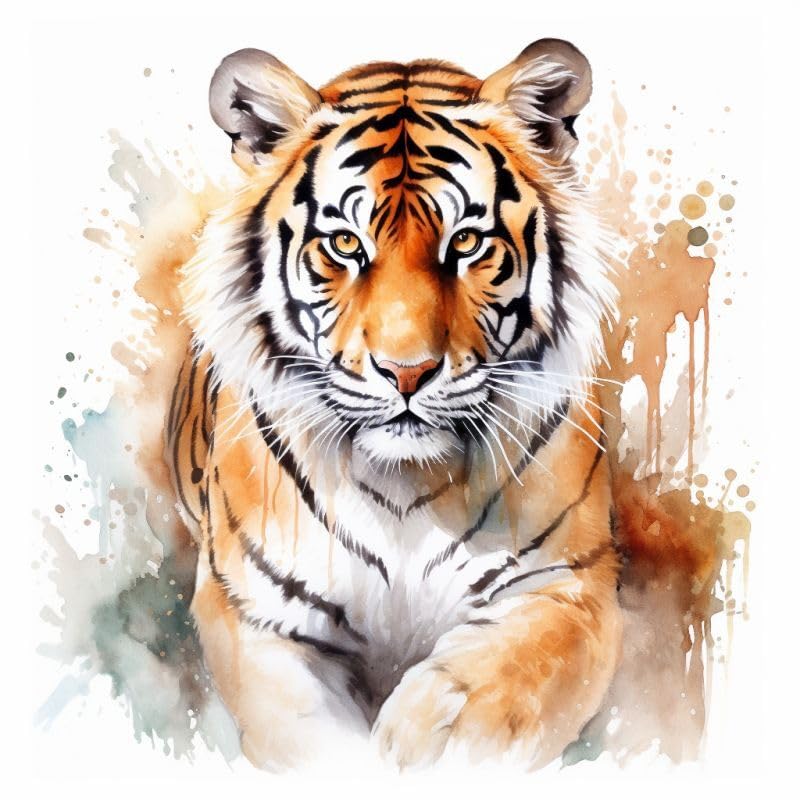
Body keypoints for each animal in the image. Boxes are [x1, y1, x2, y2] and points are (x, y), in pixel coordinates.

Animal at [168, 38, 622, 771]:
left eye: (465, 242)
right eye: (345, 244)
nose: (407, 373)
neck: (407, 489)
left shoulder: (567, 587)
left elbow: (495, 696)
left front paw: (425, 739)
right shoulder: (256, 614)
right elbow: (314, 740)